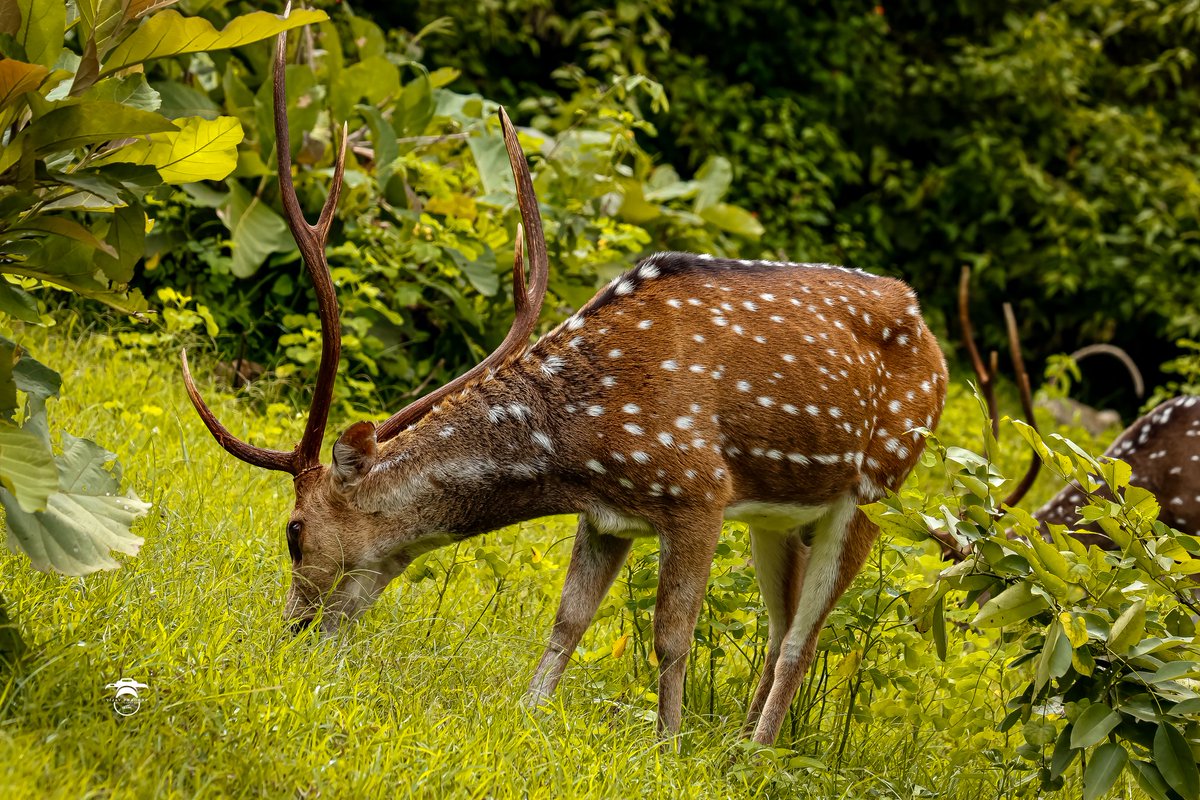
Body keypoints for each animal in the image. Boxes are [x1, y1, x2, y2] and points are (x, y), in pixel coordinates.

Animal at [180, 23, 949, 746]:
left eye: (294, 532)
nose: (292, 633)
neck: (582, 445)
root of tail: (935, 345)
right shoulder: (609, 516)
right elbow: (568, 619)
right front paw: (526, 714)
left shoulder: (698, 490)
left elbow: (671, 637)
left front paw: (667, 749)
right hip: (781, 514)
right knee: (781, 621)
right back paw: (735, 747)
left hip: (877, 489)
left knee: (802, 636)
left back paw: (756, 755)